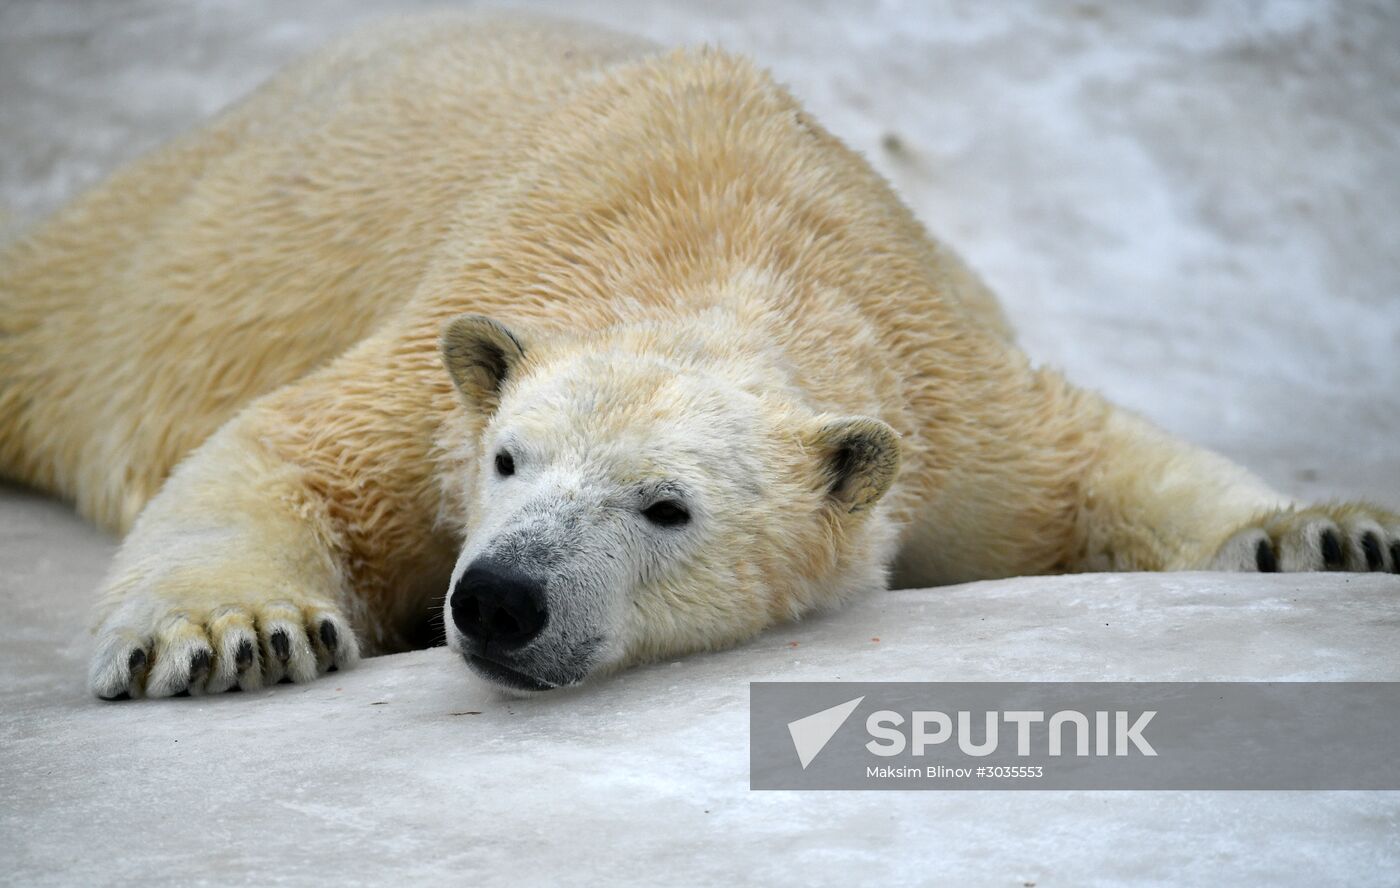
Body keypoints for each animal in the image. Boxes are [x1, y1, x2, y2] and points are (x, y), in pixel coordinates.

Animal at [0, 10, 1394, 694]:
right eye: (508, 462)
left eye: (665, 506)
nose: (499, 597)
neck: (723, 248)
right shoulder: (455, 342)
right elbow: (287, 447)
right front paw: (237, 635)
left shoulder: (945, 386)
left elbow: (1088, 460)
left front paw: (1321, 530)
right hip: (154, 241)